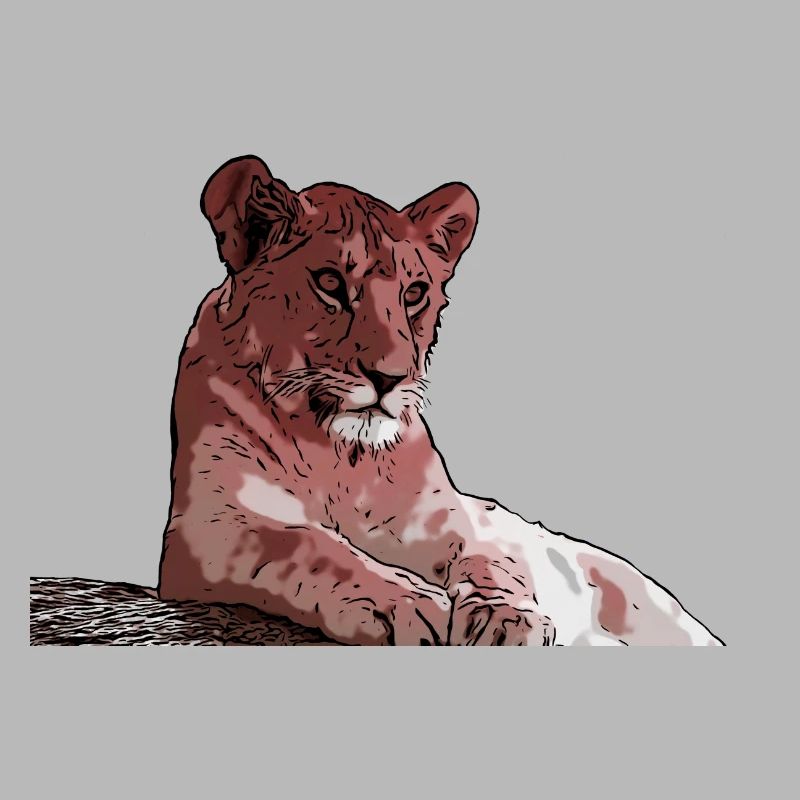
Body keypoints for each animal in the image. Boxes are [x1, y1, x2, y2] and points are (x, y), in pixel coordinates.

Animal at [157, 155, 723, 645]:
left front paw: (507, 619)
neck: (340, 458)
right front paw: (406, 605)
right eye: (330, 283)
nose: (389, 378)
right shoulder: (212, 525)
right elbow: (307, 544)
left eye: (414, 294)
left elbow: (493, 560)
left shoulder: (452, 518)